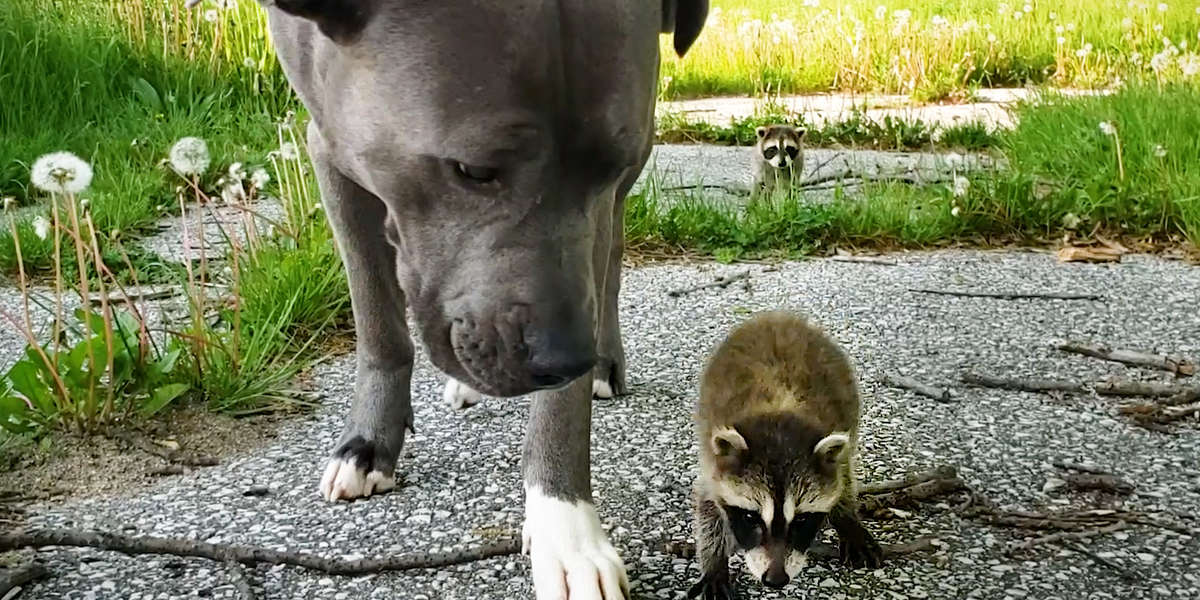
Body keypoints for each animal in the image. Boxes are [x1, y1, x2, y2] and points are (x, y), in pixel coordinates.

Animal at [687, 310, 882, 599]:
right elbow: (708, 507)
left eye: (801, 519)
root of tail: (777, 316)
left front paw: (846, 518)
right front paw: (714, 563)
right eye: (750, 517)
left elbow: (843, 479)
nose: (776, 580)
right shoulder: (713, 460)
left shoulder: (840, 437)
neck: (779, 411)